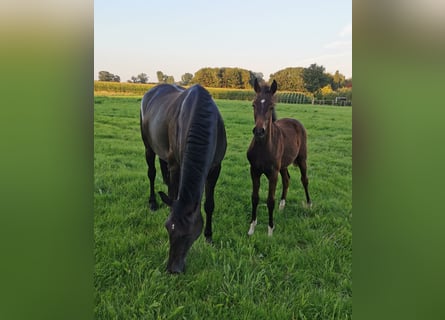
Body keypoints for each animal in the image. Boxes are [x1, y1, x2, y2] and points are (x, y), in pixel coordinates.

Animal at [140, 84, 227, 274]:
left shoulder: (215, 168)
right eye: (167, 228)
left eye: (189, 234)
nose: (173, 269)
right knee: (151, 173)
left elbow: (209, 205)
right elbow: (173, 195)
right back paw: (153, 203)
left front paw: (209, 237)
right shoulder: (175, 166)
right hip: (148, 147)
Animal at [245, 79, 310, 236]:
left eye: (271, 106)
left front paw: (270, 230)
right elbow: (255, 198)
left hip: (302, 159)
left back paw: (309, 204)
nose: (259, 131)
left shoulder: (273, 173)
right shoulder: (254, 171)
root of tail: (295, 121)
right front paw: (252, 227)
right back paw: (282, 205)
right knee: (286, 180)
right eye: (253, 105)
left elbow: (270, 200)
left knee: (304, 179)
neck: (263, 147)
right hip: (284, 165)